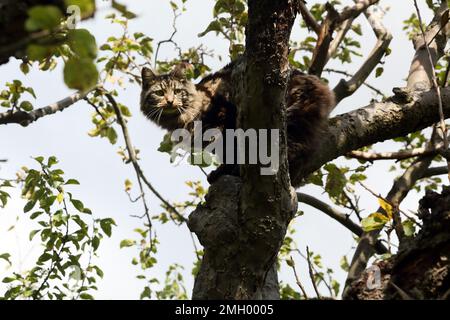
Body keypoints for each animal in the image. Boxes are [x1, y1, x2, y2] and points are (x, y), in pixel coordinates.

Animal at [140, 60, 334, 185]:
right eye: (159, 93)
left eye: (178, 91)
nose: (170, 101)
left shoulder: (224, 120)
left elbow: (229, 153)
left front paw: (225, 171)